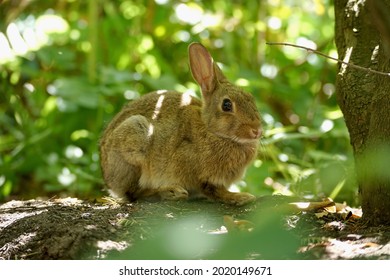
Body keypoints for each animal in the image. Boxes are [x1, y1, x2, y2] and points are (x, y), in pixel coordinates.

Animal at [99, 43, 262, 206]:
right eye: (226, 105)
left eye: (251, 98)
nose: (257, 131)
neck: (211, 131)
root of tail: (109, 178)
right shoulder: (199, 174)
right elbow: (213, 190)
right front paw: (240, 197)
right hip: (134, 141)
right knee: (134, 193)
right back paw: (170, 192)